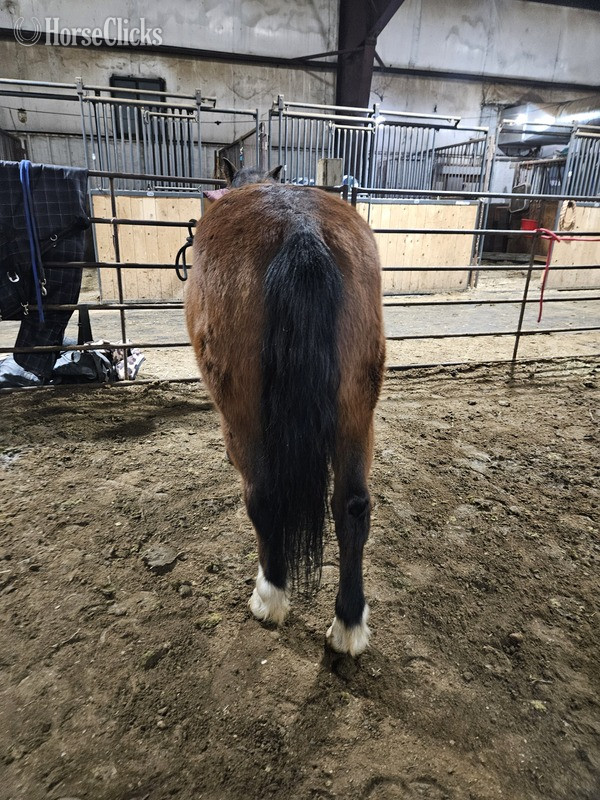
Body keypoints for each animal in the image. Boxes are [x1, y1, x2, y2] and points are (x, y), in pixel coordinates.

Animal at [185, 163, 385, 656]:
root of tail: (300, 230)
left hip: (243, 413)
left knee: (263, 496)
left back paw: (270, 595)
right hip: (357, 408)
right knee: (353, 506)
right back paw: (348, 624)